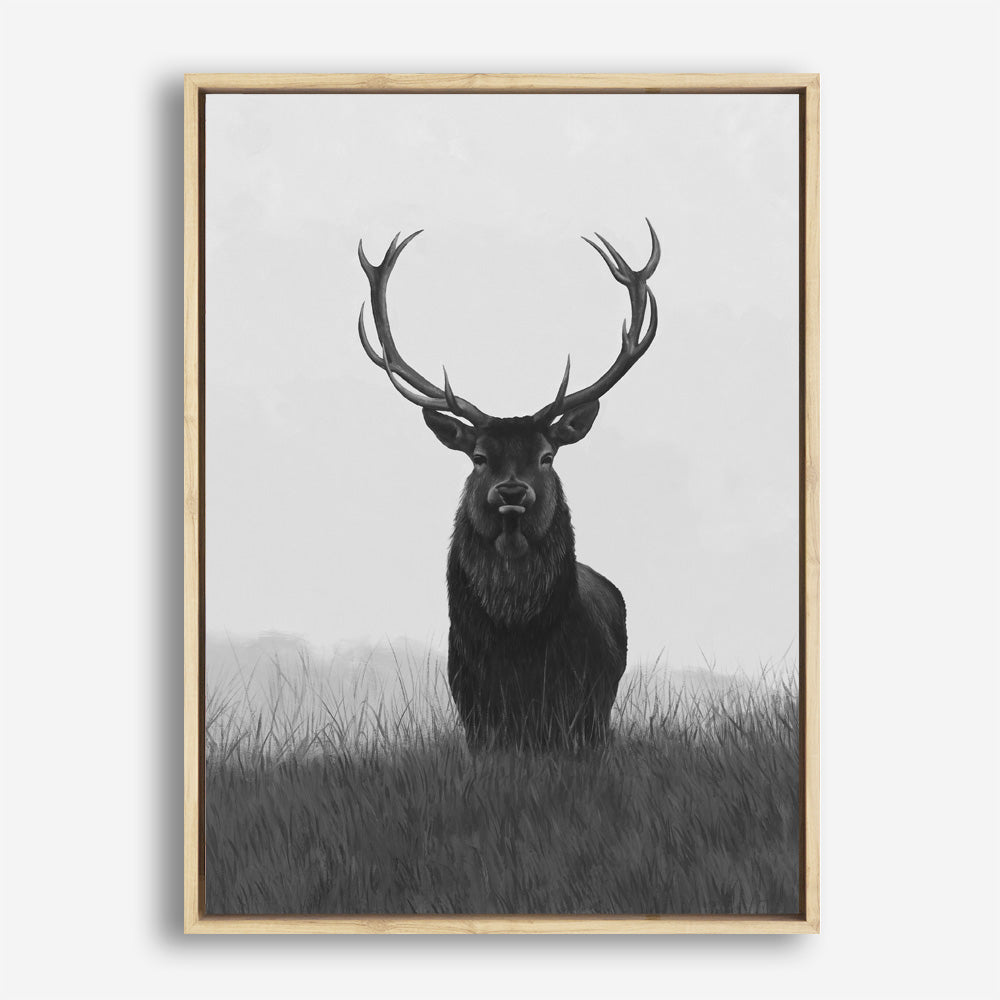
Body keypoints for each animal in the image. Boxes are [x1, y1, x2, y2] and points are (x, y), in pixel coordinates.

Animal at [357, 222, 660, 750]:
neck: (518, 648)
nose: (513, 492)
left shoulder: (584, 710)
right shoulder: (474, 708)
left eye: (546, 455)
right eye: (479, 458)